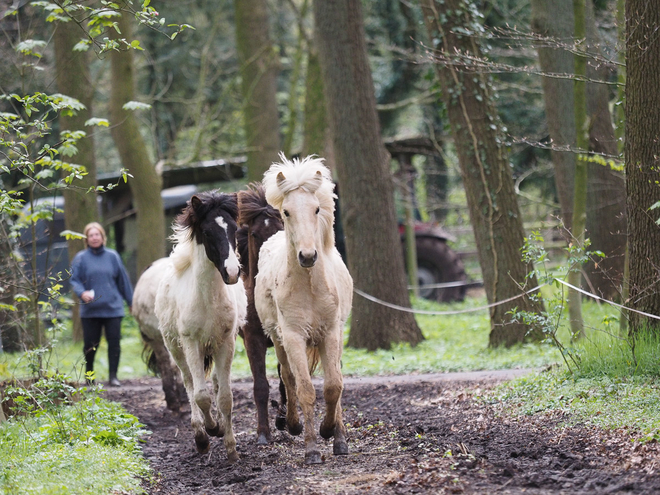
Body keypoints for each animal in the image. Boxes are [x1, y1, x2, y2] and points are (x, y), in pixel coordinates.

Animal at [156, 192, 246, 464]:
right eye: (207, 232)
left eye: (234, 229)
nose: (232, 272)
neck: (208, 300)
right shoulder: (191, 343)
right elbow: (201, 396)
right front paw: (210, 431)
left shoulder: (227, 342)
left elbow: (225, 397)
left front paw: (230, 446)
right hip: (176, 349)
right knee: (189, 383)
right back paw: (201, 435)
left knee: (216, 381)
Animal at [255, 155, 354, 464]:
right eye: (286, 212)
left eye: (316, 209)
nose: (308, 256)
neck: (310, 285)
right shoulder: (294, 336)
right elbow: (305, 388)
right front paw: (311, 447)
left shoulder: (331, 333)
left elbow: (333, 385)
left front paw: (331, 433)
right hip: (278, 339)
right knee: (288, 377)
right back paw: (294, 424)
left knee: (337, 379)